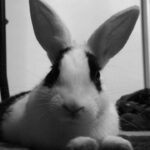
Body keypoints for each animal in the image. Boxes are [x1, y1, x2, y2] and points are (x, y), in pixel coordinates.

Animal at [0, 0, 139, 149]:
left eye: (97, 75)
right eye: (53, 72)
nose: (73, 106)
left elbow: (107, 139)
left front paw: (121, 143)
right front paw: (84, 142)